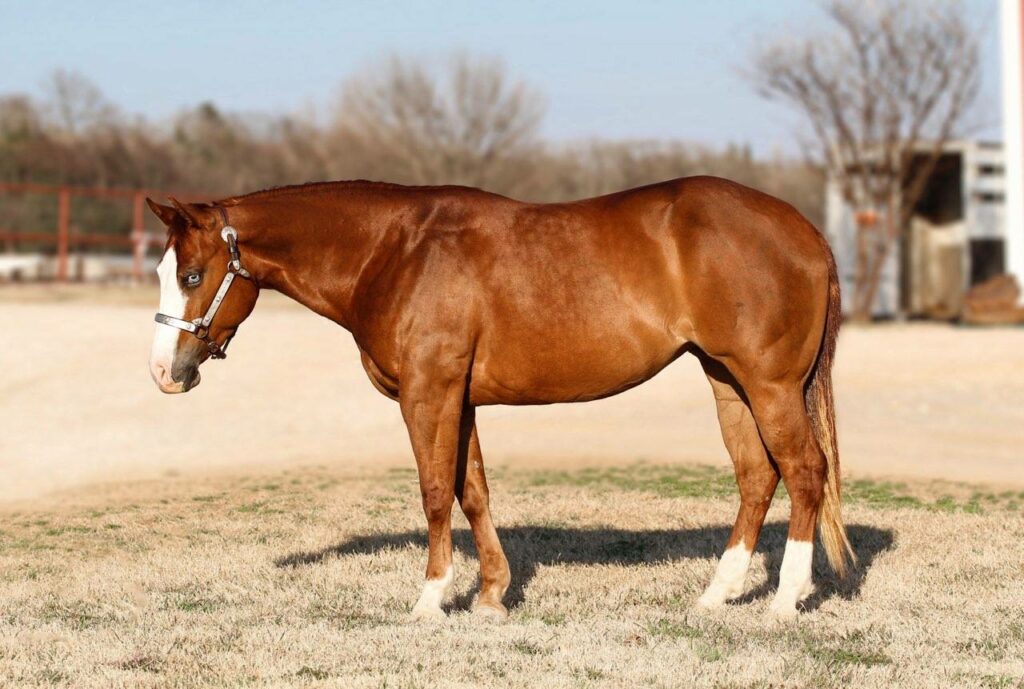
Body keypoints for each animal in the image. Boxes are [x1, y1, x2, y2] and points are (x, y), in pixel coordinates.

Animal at [146, 175, 854, 620]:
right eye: (162, 272)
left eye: (192, 275)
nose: (164, 373)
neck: (395, 252)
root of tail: (805, 231)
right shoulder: (461, 399)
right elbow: (473, 490)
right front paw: (491, 595)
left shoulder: (428, 393)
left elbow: (435, 491)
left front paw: (430, 601)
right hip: (727, 380)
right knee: (758, 476)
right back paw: (716, 595)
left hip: (768, 384)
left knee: (804, 472)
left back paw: (785, 600)